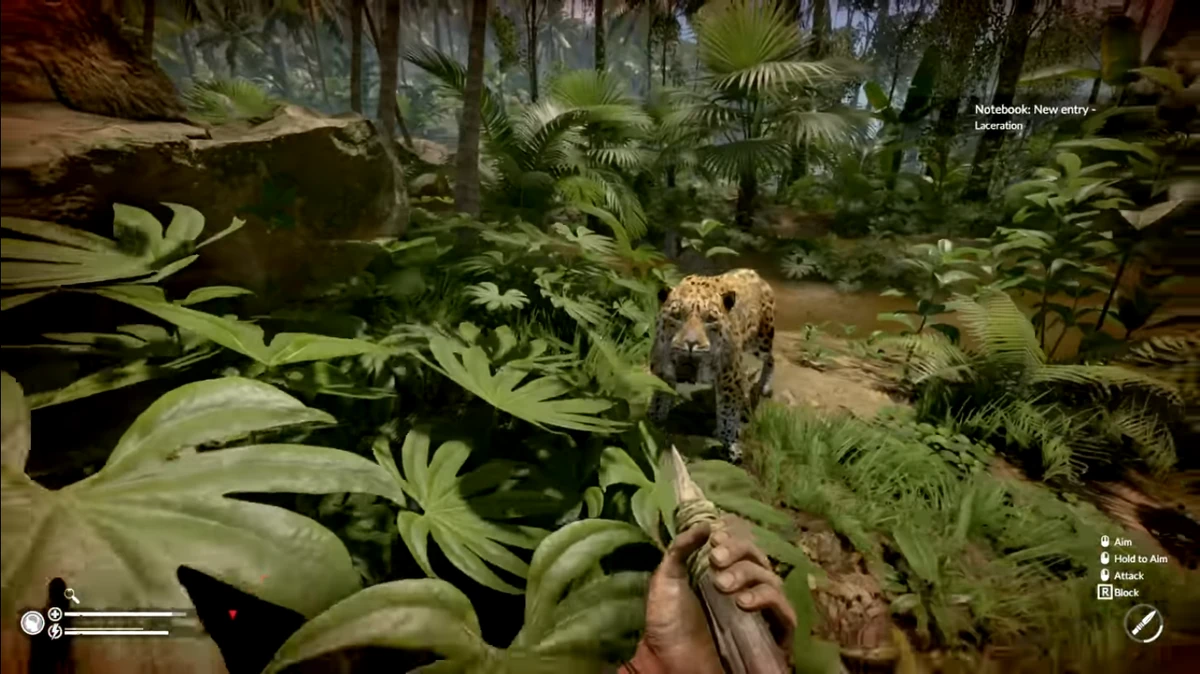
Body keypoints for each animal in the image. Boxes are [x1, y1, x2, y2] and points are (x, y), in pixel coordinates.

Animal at [649, 268, 776, 462]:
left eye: (710, 319)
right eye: (677, 316)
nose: (691, 343)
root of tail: (752, 272)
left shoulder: (731, 379)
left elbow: (728, 416)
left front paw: (730, 445)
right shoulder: (663, 373)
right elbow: (658, 401)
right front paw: (652, 425)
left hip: (762, 340)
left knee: (771, 358)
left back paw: (764, 386)